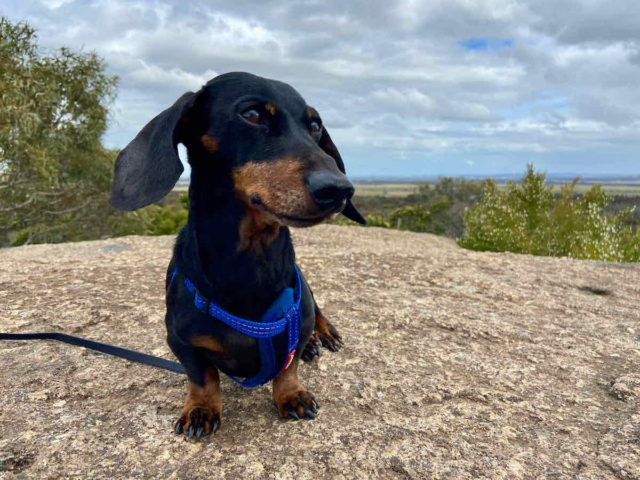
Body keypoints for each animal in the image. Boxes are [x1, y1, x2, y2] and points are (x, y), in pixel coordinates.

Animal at [110, 72, 364, 438]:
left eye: (315, 125)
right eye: (252, 114)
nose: (340, 189)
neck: (250, 262)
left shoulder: (295, 322)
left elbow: (288, 366)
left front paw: (292, 394)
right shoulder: (180, 341)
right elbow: (202, 377)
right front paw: (201, 409)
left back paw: (323, 334)